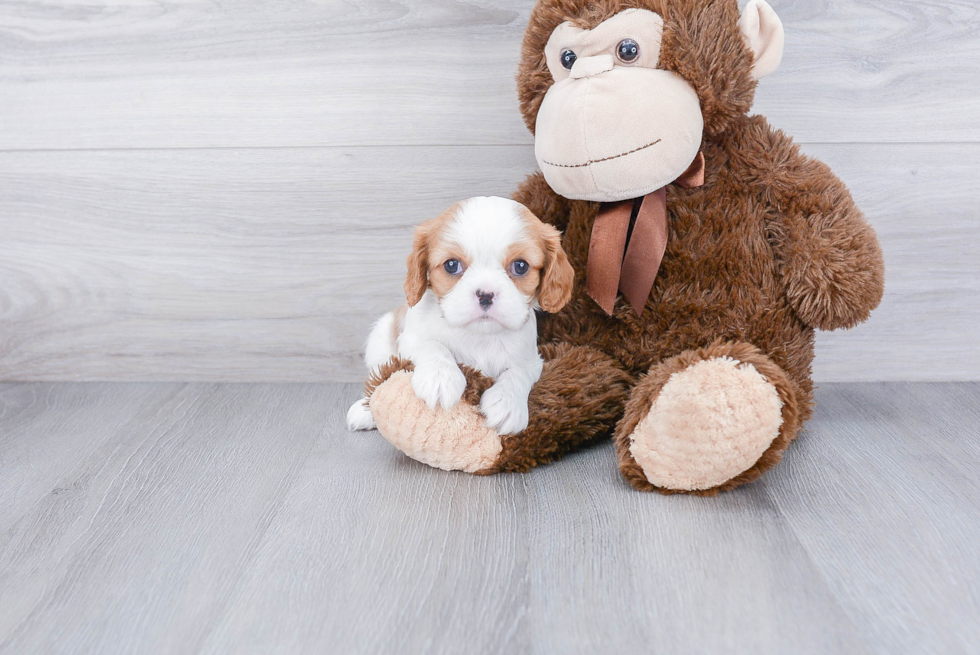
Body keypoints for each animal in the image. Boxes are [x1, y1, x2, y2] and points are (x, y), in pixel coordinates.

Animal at [346, 197, 572, 438]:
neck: (480, 336)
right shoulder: (410, 339)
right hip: (379, 338)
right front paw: (440, 378)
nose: (485, 294)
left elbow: (518, 372)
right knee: (378, 377)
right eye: (451, 265)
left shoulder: (531, 359)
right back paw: (365, 410)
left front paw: (507, 402)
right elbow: (431, 345)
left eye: (520, 266)